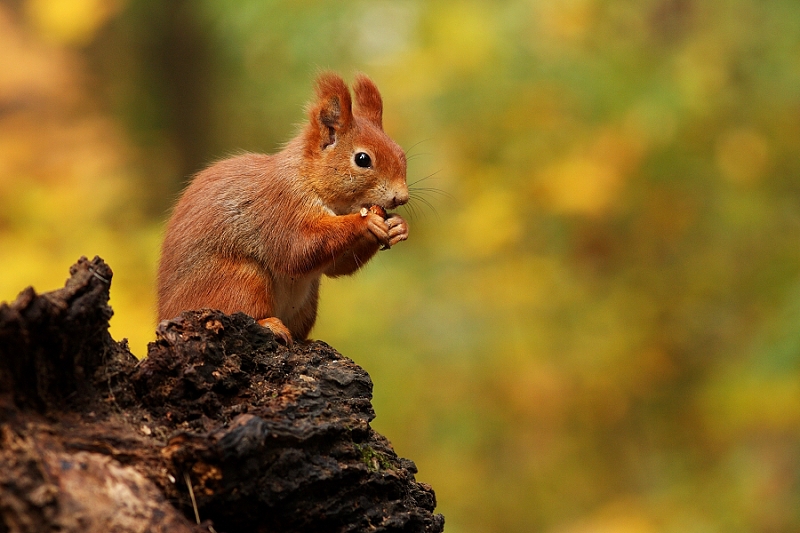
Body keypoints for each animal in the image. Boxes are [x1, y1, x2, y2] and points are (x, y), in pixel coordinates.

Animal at [157, 73, 409, 345]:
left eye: (401, 153)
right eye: (362, 159)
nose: (402, 197)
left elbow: (335, 266)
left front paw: (399, 226)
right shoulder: (281, 205)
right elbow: (297, 248)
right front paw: (365, 222)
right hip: (238, 280)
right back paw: (268, 324)